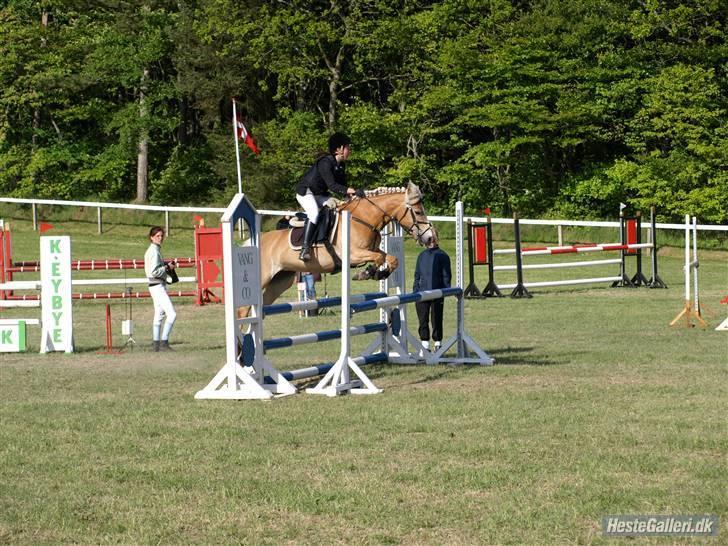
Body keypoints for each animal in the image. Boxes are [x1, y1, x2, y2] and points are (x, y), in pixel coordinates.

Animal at [260, 181, 436, 304]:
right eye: (418, 212)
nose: (430, 238)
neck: (363, 219)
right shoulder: (353, 255)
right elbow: (379, 258)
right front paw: (365, 273)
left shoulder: (372, 250)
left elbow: (392, 259)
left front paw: (379, 273)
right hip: (265, 277)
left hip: (280, 281)